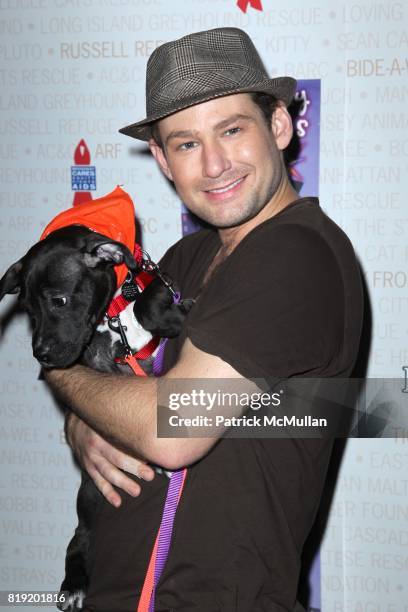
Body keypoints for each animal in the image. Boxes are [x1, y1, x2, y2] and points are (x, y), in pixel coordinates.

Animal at [0, 226, 194, 612]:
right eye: (27, 310)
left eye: (59, 301)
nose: (40, 354)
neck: (112, 311)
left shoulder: (157, 281)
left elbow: (150, 301)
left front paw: (172, 317)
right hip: (90, 492)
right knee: (80, 537)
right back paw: (74, 584)